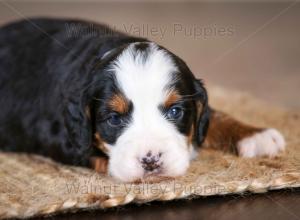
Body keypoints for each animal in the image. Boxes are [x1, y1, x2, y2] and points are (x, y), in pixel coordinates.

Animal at [0, 17, 284, 182]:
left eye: (175, 112)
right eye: (114, 119)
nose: (151, 160)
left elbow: (213, 116)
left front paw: (254, 134)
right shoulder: (56, 131)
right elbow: (90, 151)